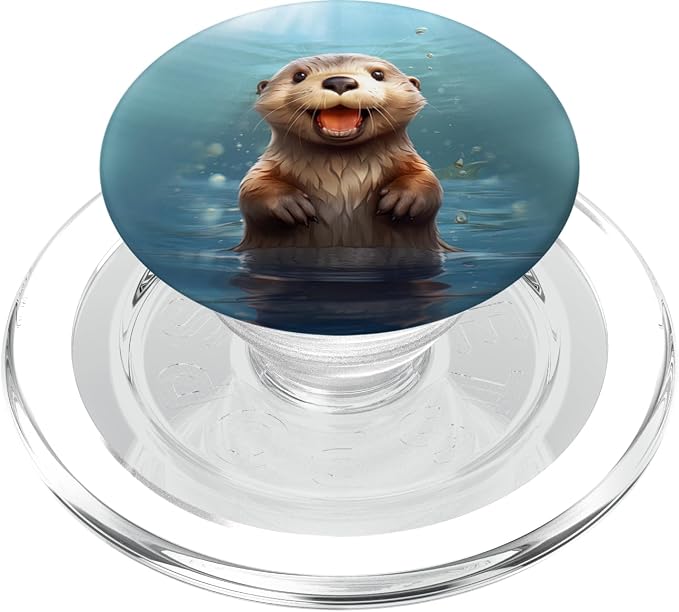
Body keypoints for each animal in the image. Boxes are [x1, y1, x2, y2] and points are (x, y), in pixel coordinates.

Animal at [236, 54, 457, 251]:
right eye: (299, 75)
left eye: (378, 74)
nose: (340, 81)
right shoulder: (268, 165)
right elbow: (251, 188)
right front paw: (289, 204)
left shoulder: (408, 160)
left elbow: (429, 182)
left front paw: (403, 198)